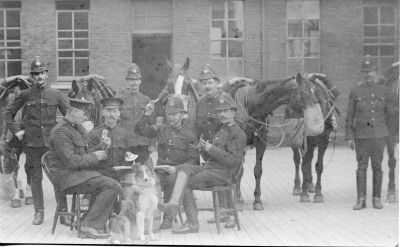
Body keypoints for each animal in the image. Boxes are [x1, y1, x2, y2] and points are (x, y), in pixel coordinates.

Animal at [286, 73, 340, 203]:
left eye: (316, 96)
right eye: (299, 95)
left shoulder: (323, 141)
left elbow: (318, 166)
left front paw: (318, 193)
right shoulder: (303, 141)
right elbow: (303, 166)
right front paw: (303, 193)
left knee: (309, 160)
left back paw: (310, 185)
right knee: (297, 160)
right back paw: (297, 186)